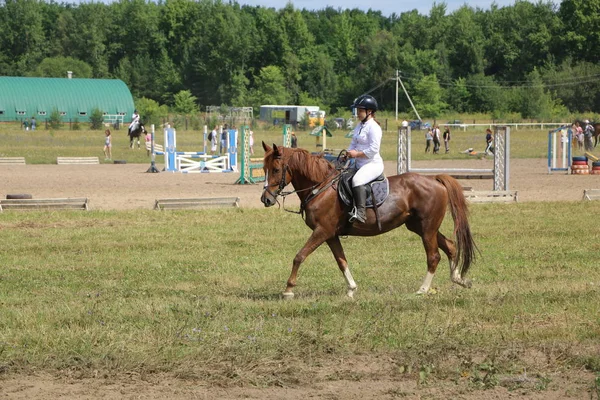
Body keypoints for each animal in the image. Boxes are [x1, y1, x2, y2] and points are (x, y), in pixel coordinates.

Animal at [262, 142, 478, 298]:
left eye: (275, 170)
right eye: (264, 168)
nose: (266, 200)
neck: (320, 187)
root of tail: (434, 179)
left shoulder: (322, 231)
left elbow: (299, 256)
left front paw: (288, 289)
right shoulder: (330, 235)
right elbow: (341, 261)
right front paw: (351, 289)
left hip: (427, 228)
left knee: (434, 256)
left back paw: (423, 290)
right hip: (420, 227)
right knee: (450, 246)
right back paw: (460, 279)